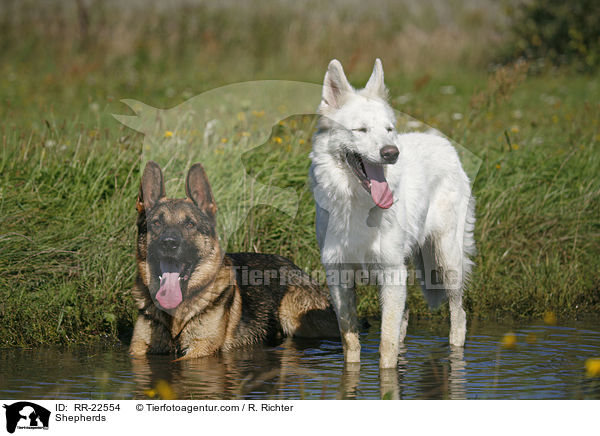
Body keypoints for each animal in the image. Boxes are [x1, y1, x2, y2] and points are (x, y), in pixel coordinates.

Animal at [310, 58, 474, 368]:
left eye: (388, 129)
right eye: (361, 130)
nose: (391, 153)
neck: (358, 206)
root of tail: (443, 142)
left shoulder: (390, 272)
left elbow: (385, 346)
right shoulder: (339, 277)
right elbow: (351, 342)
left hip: (447, 262)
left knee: (459, 316)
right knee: (406, 316)